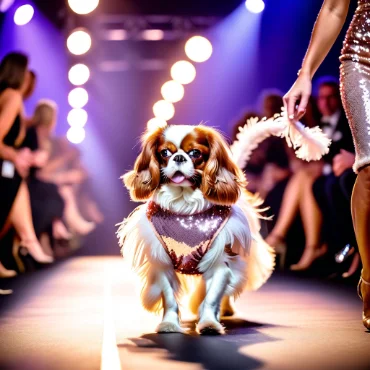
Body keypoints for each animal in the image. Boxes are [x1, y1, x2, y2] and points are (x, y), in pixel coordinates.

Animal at [118, 124, 274, 336]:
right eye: (165, 153)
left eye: (195, 153)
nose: (179, 158)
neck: (184, 206)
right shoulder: (162, 262)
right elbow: (169, 298)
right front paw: (169, 324)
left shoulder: (220, 263)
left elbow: (212, 298)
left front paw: (209, 323)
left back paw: (225, 310)